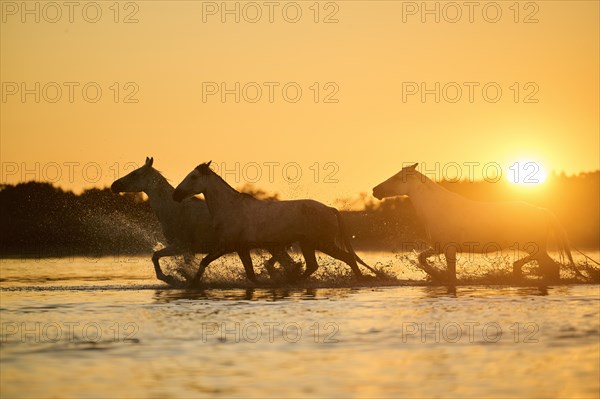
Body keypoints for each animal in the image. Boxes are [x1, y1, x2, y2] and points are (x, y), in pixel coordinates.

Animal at [110, 158, 298, 286]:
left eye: (135, 173)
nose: (114, 186)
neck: (175, 210)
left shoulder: (182, 246)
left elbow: (156, 256)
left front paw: (172, 278)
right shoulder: (188, 251)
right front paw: (181, 278)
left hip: (272, 246)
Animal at [171, 161, 378, 286]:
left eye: (194, 177)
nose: (176, 195)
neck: (230, 208)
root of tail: (330, 209)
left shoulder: (227, 246)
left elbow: (205, 261)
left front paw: (192, 284)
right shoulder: (241, 248)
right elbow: (250, 274)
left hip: (323, 243)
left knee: (347, 258)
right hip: (308, 244)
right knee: (312, 266)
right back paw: (291, 279)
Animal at [372, 162, 576, 282]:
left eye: (397, 177)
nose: (375, 190)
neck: (437, 208)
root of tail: (542, 211)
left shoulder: (449, 249)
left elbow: (452, 276)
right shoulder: (438, 247)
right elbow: (421, 258)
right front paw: (434, 274)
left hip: (534, 247)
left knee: (551, 266)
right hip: (535, 248)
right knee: (549, 267)